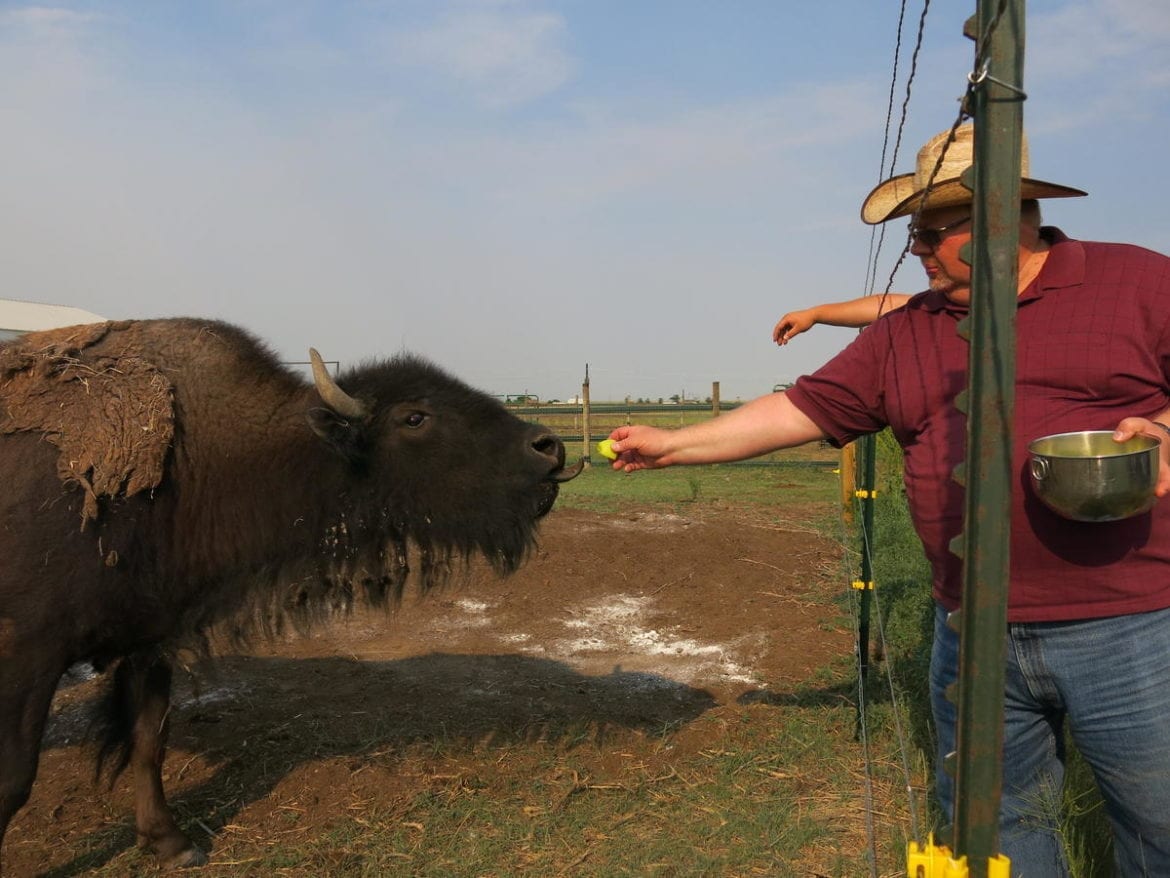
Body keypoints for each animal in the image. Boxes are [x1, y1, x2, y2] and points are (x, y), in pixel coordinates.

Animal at [0, 318, 582, 870]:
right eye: (414, 417)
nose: (548, 447)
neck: (198, 461)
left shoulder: (153, 638)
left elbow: (149, 742)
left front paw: (172, 844)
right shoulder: (30, 653)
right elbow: (17, 776)